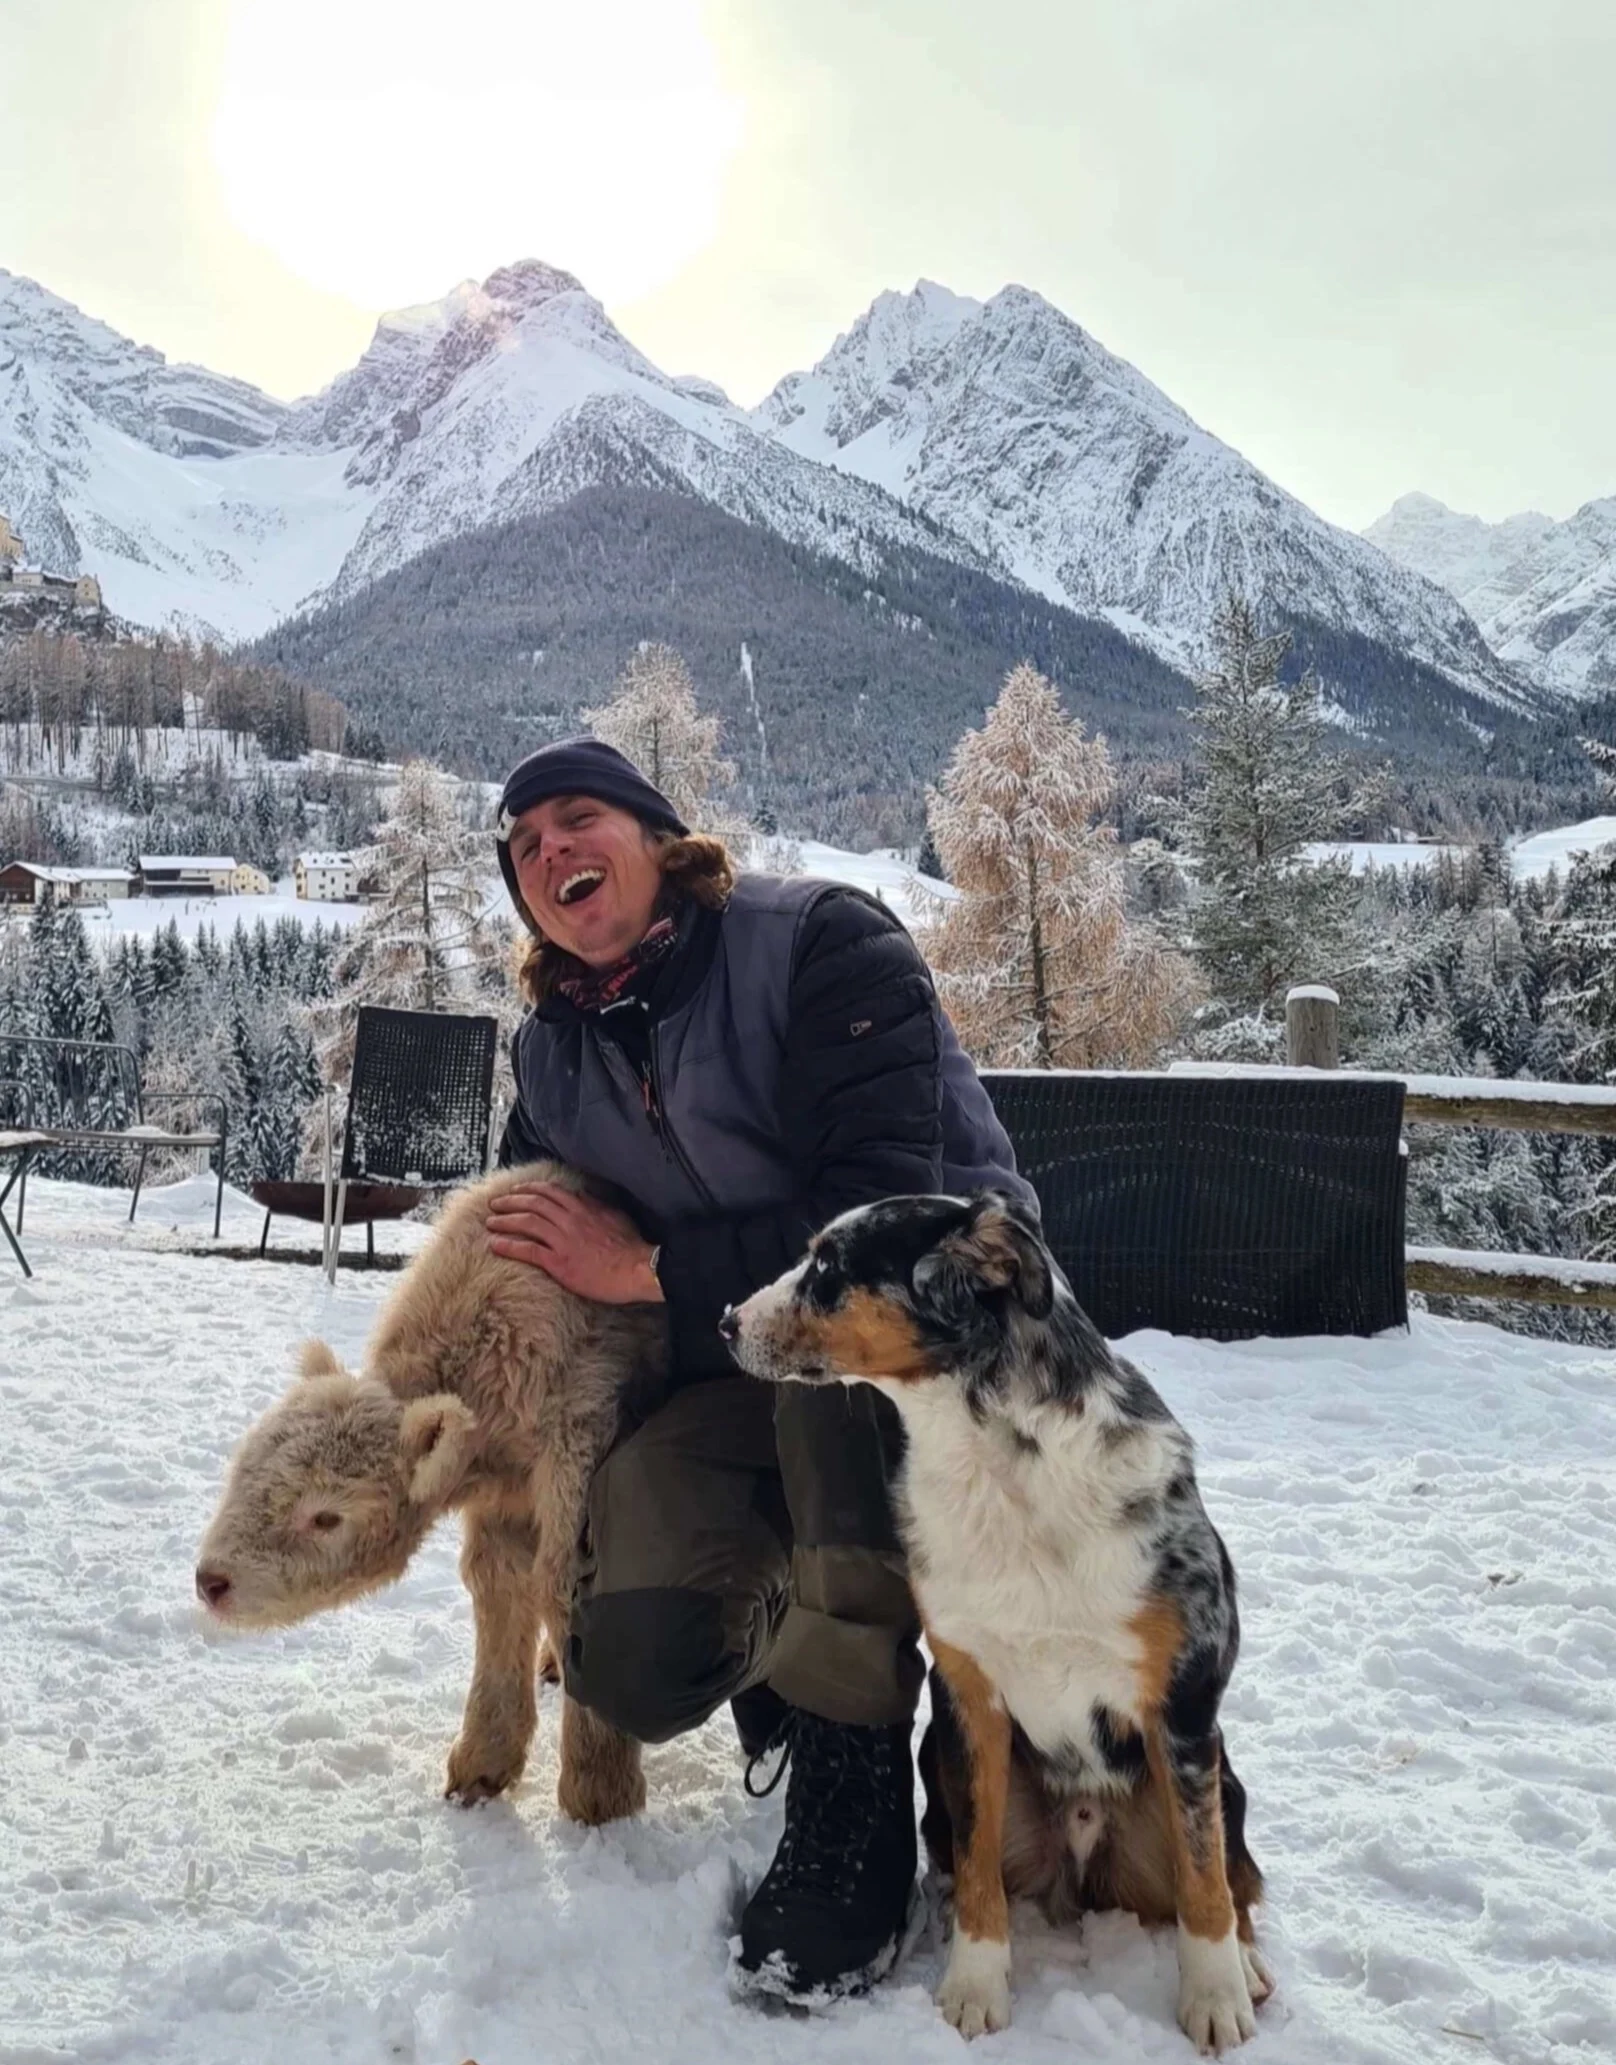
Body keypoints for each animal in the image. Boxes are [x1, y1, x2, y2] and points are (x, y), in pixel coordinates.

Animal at [194, 1163, 667, 1826]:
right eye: (240, 1473)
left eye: (327, 1518)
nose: (211, 1582)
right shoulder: (504, 1492)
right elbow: (498, 1583)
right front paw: (483, 1764)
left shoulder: (577, 1437)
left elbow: (564, 1588)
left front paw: (601, 1795)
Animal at [720, 1189, 1272, 2053]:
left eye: (828, 1265)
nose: (725, 1321)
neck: (998, 1460)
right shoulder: (968, 1698)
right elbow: (980, 1864)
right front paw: (974, 1985)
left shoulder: (1181, 1707)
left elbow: (1204, 1873)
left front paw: (1213, 1996)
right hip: (938, 1764)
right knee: (962, 1858)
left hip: (1224, 1778)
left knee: (1229, 1871)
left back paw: (1242, 1965)